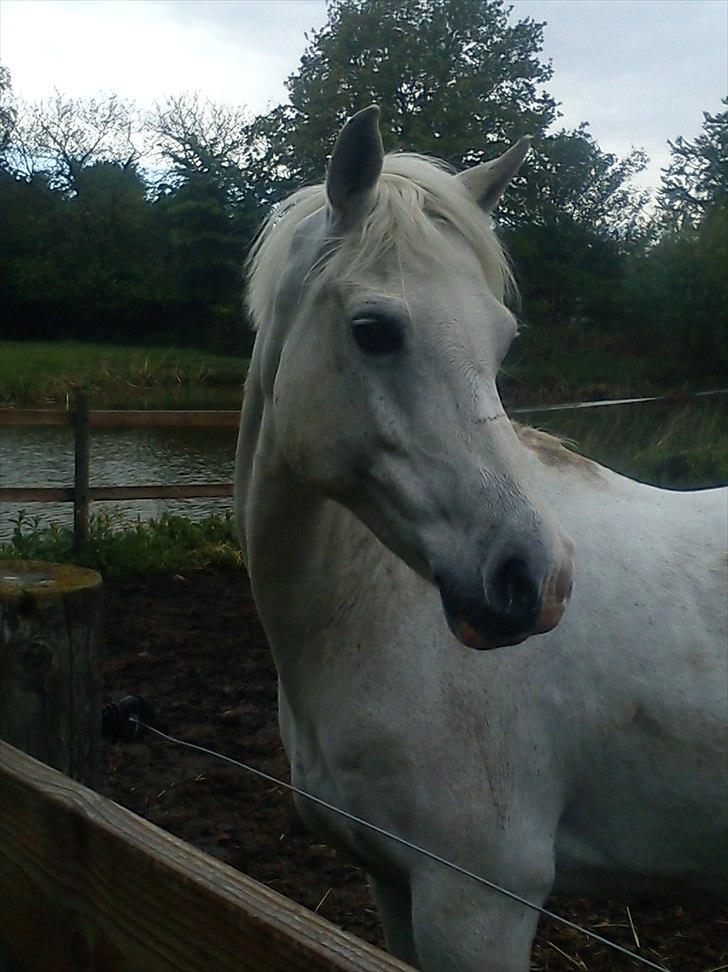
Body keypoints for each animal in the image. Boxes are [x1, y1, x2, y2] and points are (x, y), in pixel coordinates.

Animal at [234, 106, 728, 971]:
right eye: (373, 330)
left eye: (500, 342)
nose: (538, 582)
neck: (361, 618)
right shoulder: (389, 882)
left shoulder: (476, 902)